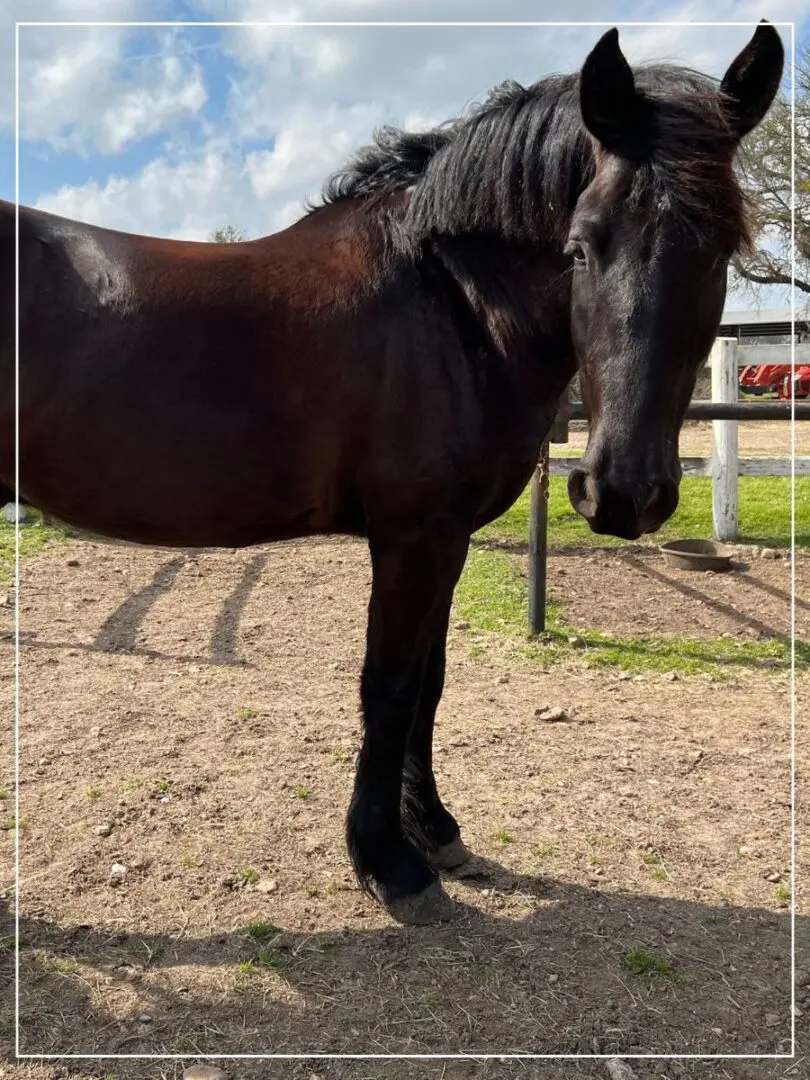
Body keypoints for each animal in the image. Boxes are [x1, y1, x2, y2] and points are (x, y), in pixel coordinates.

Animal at [1, 23, 786, 920]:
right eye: (582, 245)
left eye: (723, 248)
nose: (622, 493)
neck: (449, 306)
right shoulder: (412, 537)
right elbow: (391, 686)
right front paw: (387, 859)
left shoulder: (447, 542)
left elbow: (429, 685)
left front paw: (433, 827)